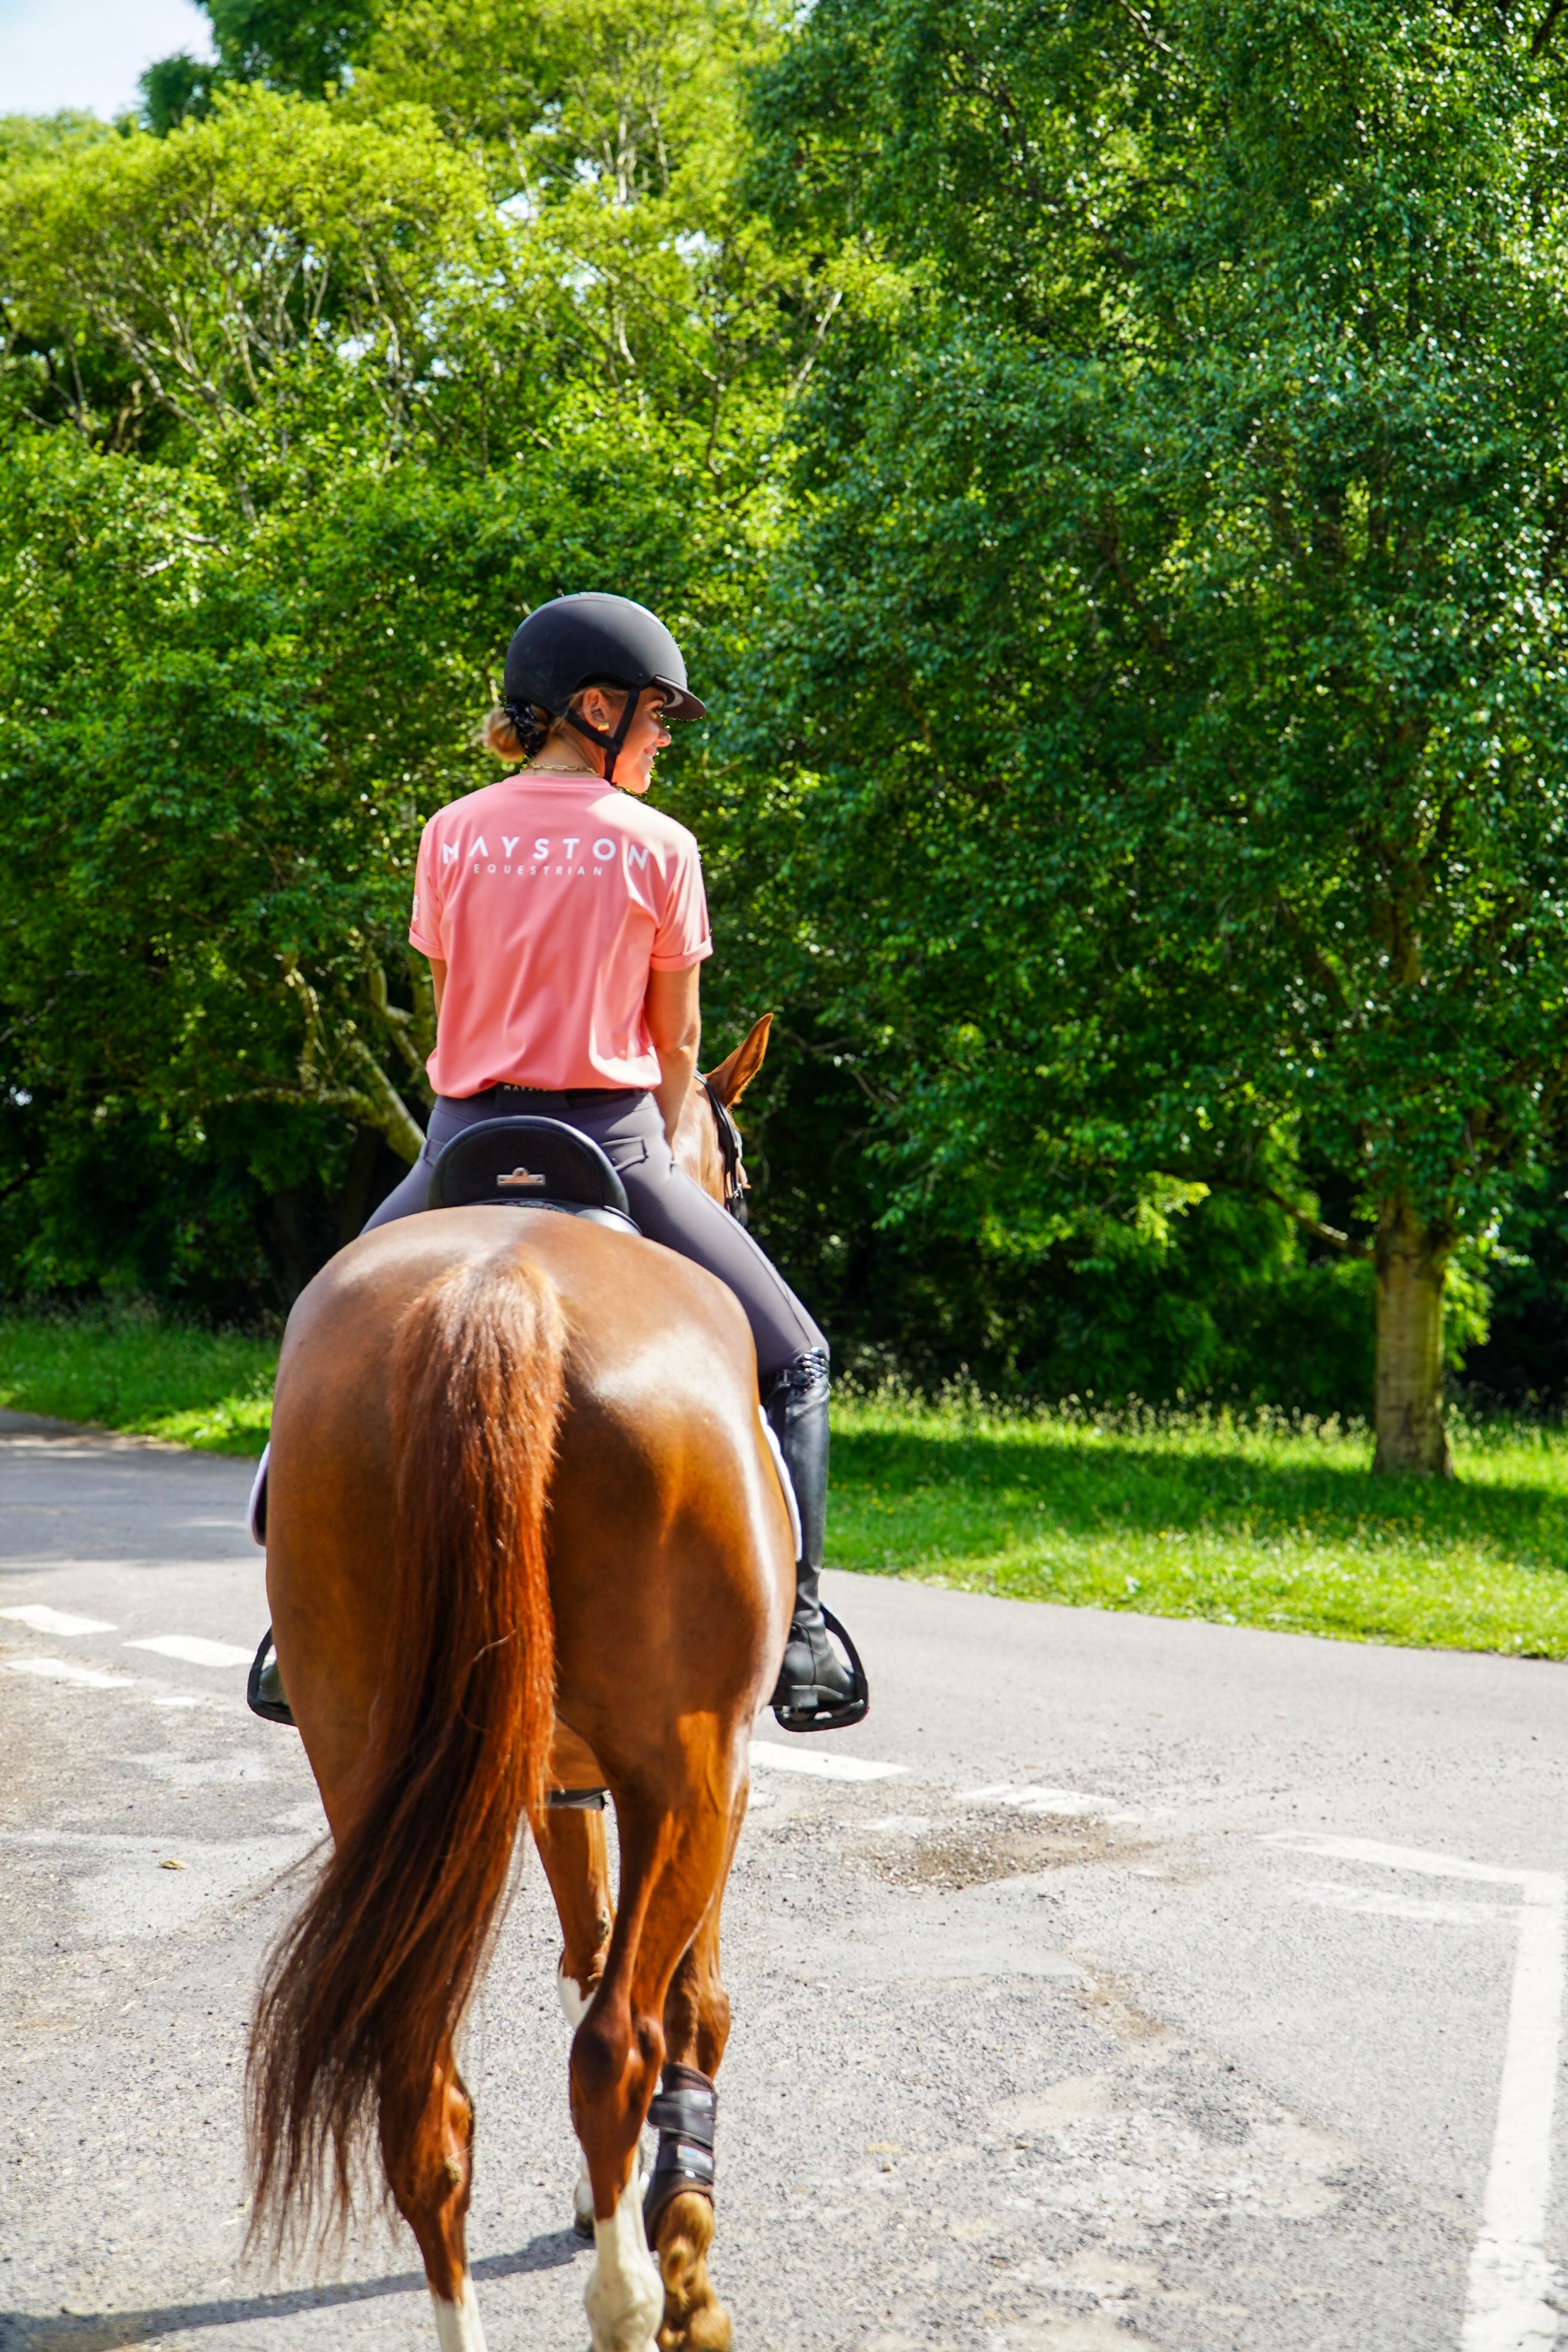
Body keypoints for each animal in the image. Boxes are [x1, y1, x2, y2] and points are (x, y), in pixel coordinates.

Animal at [248, 1015, 787, 2352]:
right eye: (740, 1167)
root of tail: (501, 1289)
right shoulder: (710, 1779)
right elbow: (687, 2001)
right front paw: (681, 2249)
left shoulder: (549, 1782)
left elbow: (587, 1950)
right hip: (684, 1776)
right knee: (614, 2045)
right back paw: (631, 2300)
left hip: (369, 1761)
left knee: (422, 2092)